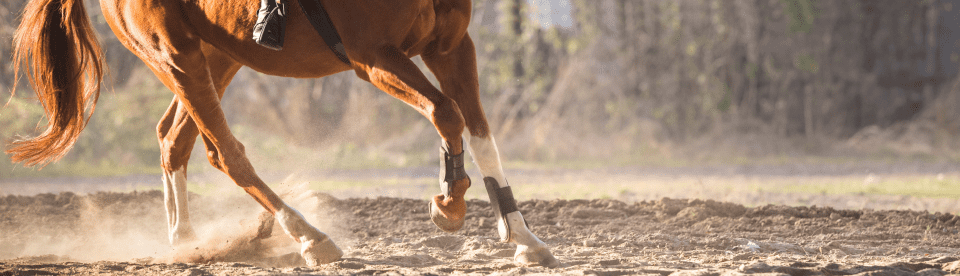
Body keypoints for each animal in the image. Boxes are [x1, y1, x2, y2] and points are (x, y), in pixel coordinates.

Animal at [9, 0, 564, 268]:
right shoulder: (373, 56)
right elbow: (447, 114)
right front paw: (449, 203)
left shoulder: (451, 46)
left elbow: (482, 133)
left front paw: (522, 237)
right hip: (175, 54)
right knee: (224, 153)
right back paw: (308, 235)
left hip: (217, 55)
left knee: (174, 139)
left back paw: (185, 240)